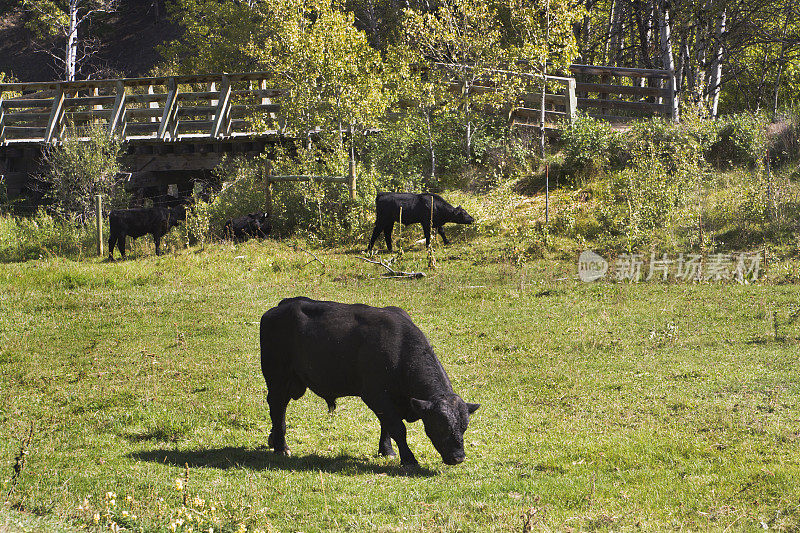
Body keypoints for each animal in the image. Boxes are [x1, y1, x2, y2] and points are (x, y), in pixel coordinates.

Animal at [260, 296, 478, 466]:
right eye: (441, 426)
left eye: (464, 427)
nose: (458, 458)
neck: (399, 351)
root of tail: (281, 306)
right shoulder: (375, 395)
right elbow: (397, 428)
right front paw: (409, 459)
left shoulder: (389, 400)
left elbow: (386, 426)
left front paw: (386, 450)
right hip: (277, 379)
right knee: (277, 407)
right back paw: (281, 447)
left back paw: (273, 439)